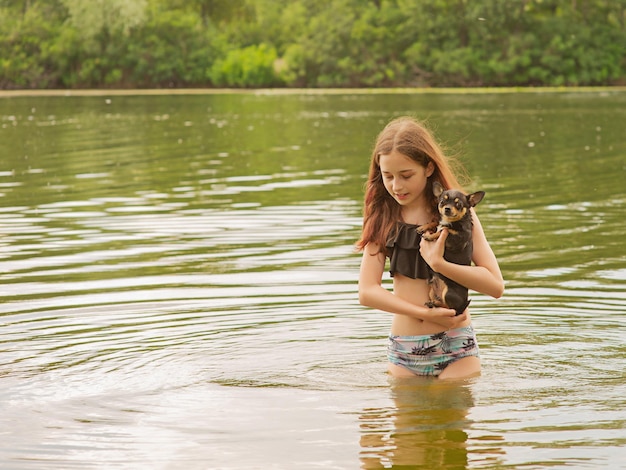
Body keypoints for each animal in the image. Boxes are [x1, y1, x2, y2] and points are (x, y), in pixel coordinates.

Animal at [416, 182, 486, 314]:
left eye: (458, 204)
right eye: (442, 201)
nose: (447, 209)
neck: (451, 221)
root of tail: (462, 306)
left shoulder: (457, 240)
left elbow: (444, 230)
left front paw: (430, 235)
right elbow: (437, 223)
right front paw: (424, 227)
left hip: (448, 293)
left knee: (450, 308)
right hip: (432, 291)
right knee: (442, 304)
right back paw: (433, 303)